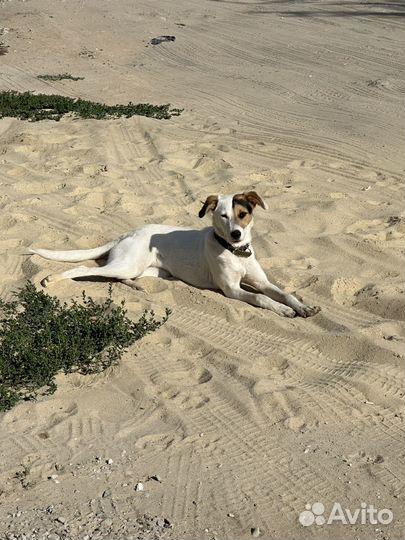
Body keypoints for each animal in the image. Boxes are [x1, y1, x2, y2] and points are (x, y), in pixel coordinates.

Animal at [30, 191, 320, 318]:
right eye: (222, 216)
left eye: (242, 214)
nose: (237, 234)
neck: (236, 253)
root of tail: (128, 233)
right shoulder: (232, 290)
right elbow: (261, 298)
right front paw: (283, 311)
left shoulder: (261, 281)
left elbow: (284, 293)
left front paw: (303, 307)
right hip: (126, 264)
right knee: (85, 270)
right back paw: (52, 279)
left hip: (151, 270)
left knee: (119, 276)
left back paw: (136, 286)